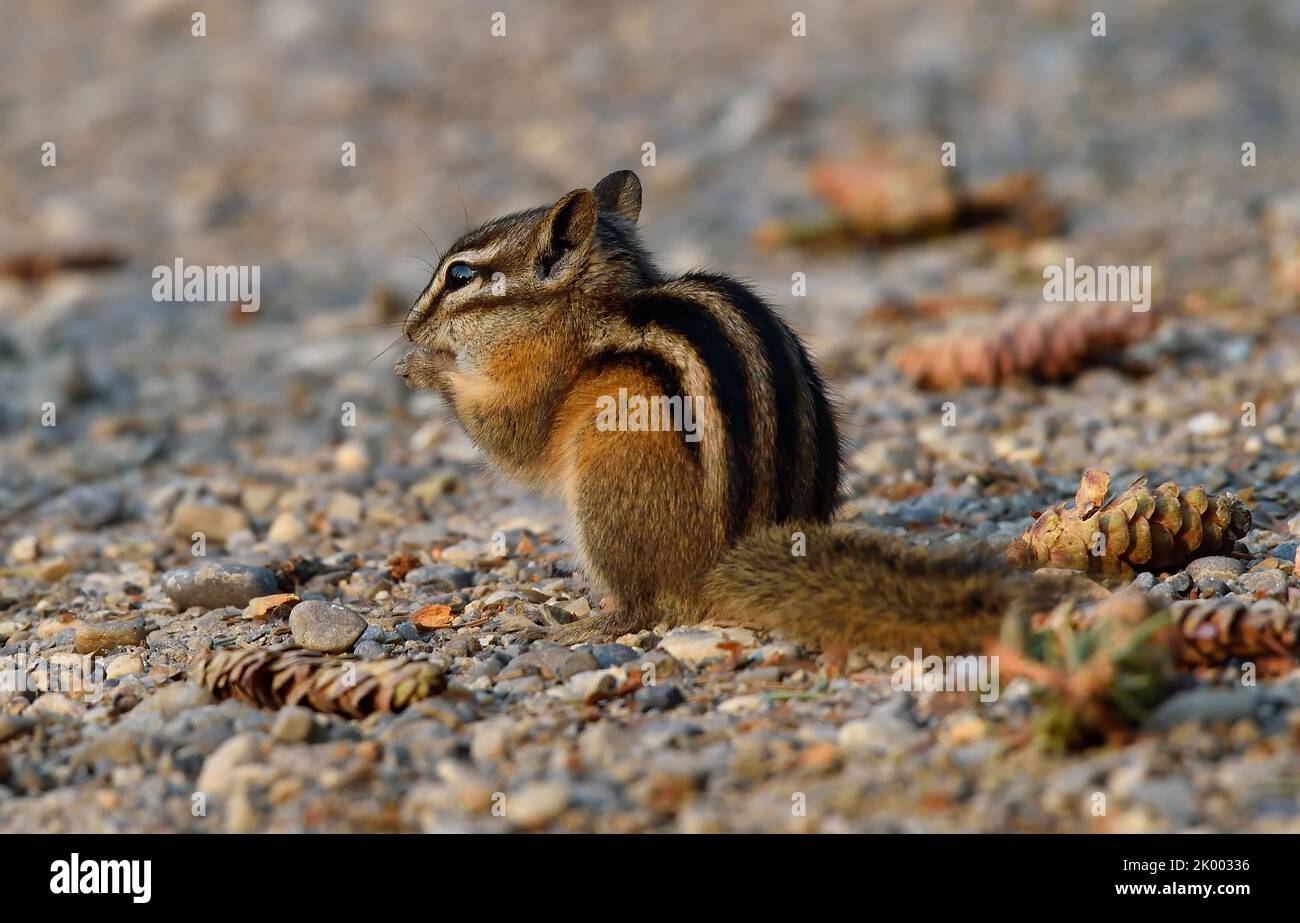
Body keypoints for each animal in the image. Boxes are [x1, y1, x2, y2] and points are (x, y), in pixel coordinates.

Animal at [395, 171, 1079, 653]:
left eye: (460, 276)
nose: (407, 326)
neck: (590, 311)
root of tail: (720, 569)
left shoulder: (540, 379)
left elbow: (513, 440)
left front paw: (424, 367)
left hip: (609, 485)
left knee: (643, 608)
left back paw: (574, 626)